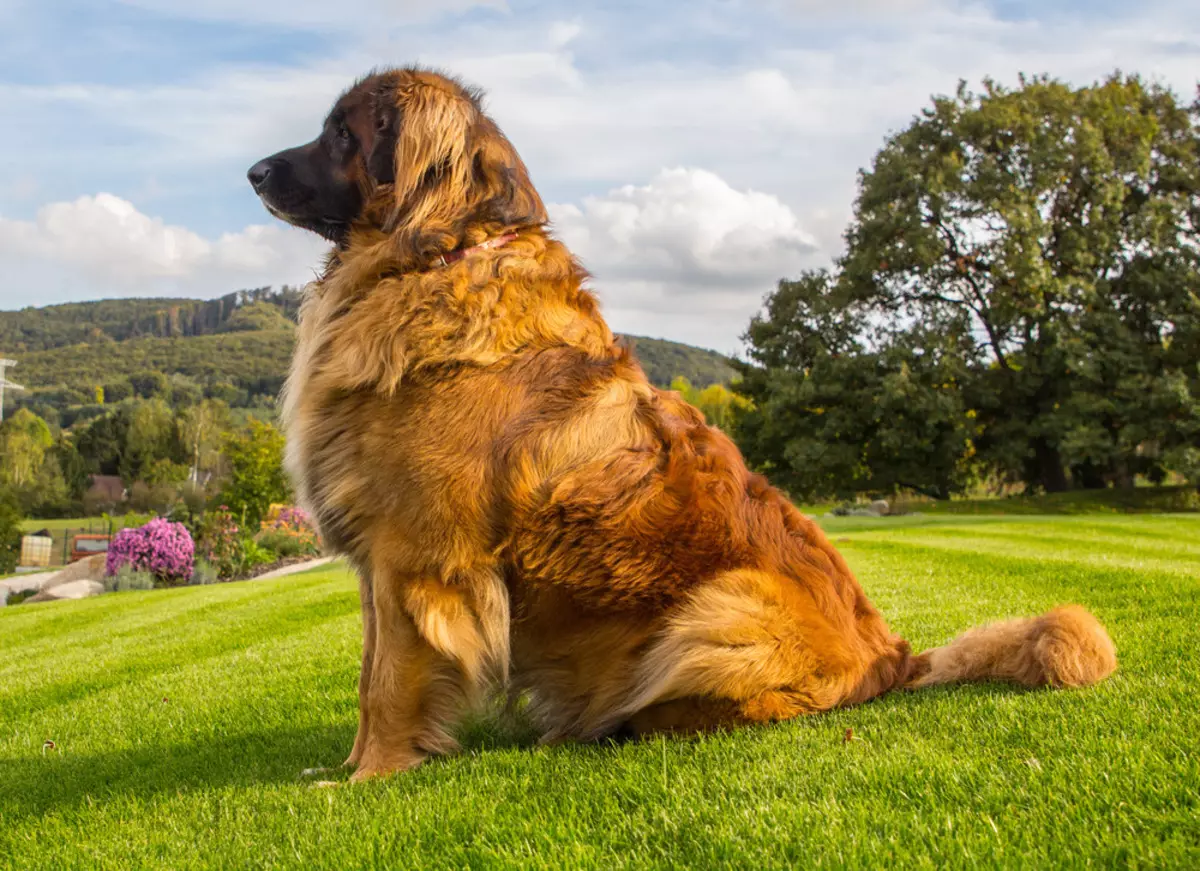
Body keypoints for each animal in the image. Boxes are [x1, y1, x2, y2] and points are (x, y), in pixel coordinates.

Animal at [246, 64, 1113, 782]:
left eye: (341, 134)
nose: (252, 171)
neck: (438, 259)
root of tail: (895, 656)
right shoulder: (380, 566)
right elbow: (368, 672)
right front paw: (347, 765)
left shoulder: (416, 557)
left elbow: (390, 682)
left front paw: (369, 778)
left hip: (719, 607)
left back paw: (621, 721)